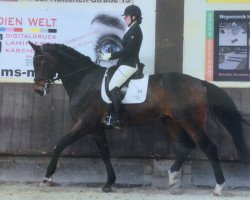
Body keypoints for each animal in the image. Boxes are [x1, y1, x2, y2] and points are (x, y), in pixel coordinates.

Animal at [28, 41, 249, 196]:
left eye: (41, 61)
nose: (38, 90)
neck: (84, 79)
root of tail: (199, 83)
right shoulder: (96, 127)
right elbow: (105, 153)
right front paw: (109, 183)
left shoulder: (85, 124)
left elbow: (60, 144)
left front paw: (47, 178)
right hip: (170, 121)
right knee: (187, 147)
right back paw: (172, 179)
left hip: (190, 122)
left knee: (209, 147)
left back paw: (218, 188)